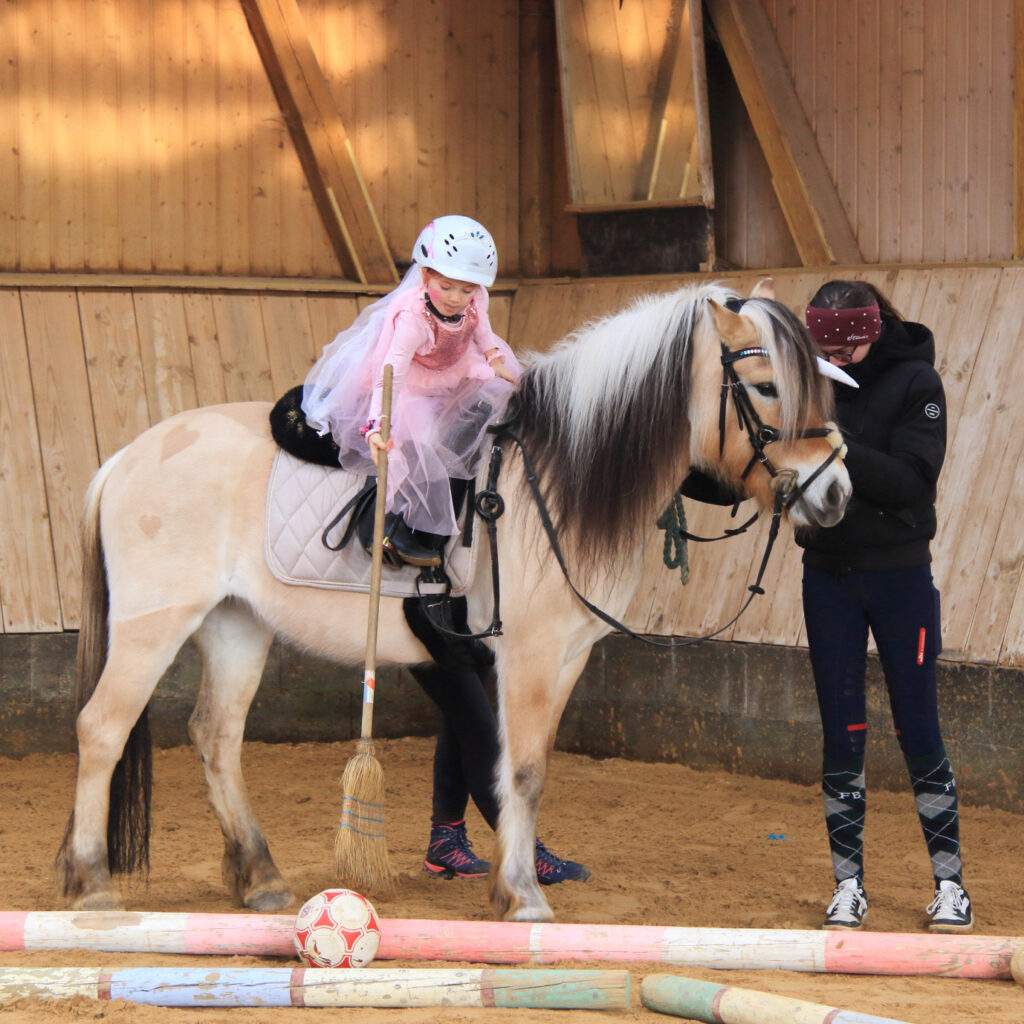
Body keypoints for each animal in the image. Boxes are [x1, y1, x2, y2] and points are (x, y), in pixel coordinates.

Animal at [57, 279, 851, 923]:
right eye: (768, 387)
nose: (837, 493)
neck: (554, 480)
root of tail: (126, 457)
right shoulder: (529, 654)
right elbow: (521, 769)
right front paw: (524, 896)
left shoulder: (563, 657)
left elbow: (525, 769)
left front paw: (514, 882)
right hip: (152, 626)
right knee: (101, 728)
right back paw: (93, 881)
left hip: (235, 626)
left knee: (216, 737)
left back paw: (259, 877)